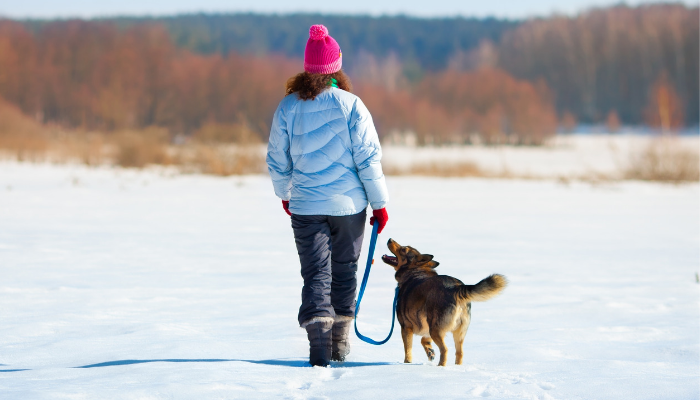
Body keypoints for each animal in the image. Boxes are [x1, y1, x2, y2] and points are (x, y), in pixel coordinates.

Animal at [382, 239, 508, 368]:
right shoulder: (426, 326)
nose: (390, 239)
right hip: (457, 332)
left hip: (435, 330)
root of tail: (456, 288)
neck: (414, 271)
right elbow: (424, 340)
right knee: (459, 352)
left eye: (403, 249)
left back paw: (441, 367)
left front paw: (407, 363)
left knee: (445, 349)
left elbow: (408, 351)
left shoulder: (406, 327)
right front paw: (430, 352)